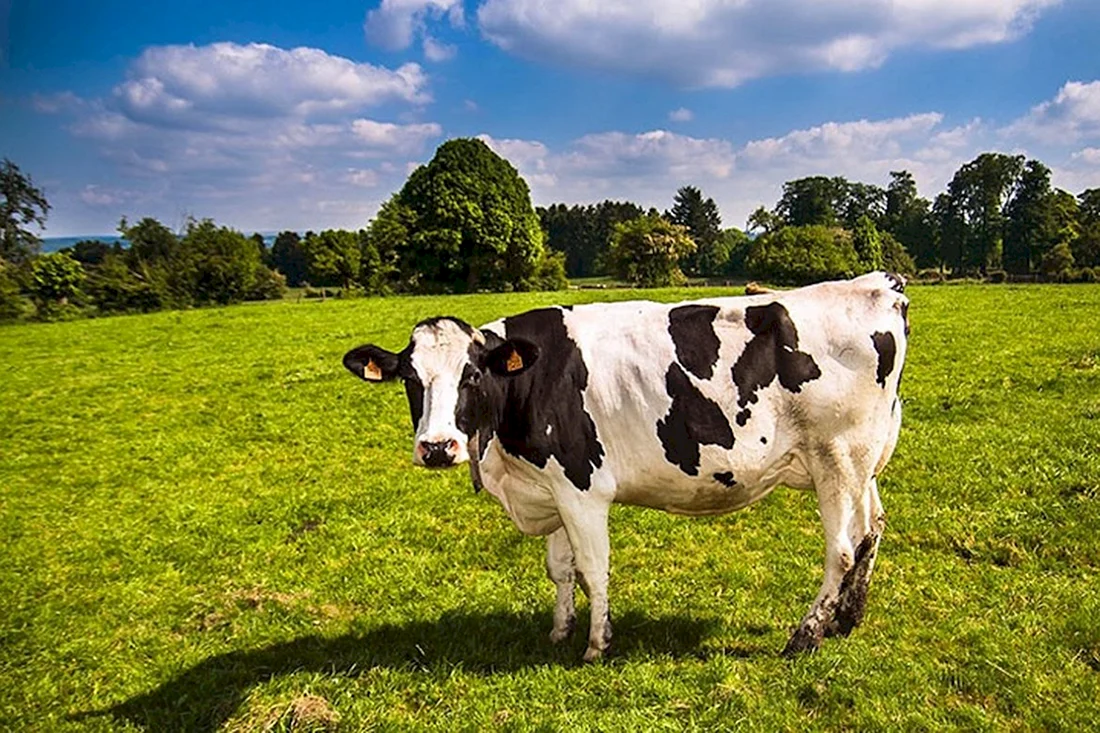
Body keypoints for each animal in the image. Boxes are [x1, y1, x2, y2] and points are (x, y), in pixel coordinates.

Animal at [342, 272, 909, 661]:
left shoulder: (581, 487)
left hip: (837, 457)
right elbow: (560, 568)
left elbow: (593, 568)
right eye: (410, 379)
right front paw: (559, 630)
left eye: (472, 375)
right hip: (862, 462)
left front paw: (597, 644)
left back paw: (806, 635)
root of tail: (878, 284)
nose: (438, 447)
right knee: (871, 529)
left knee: (841, 550)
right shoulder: (551, 487)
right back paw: (846, 618)